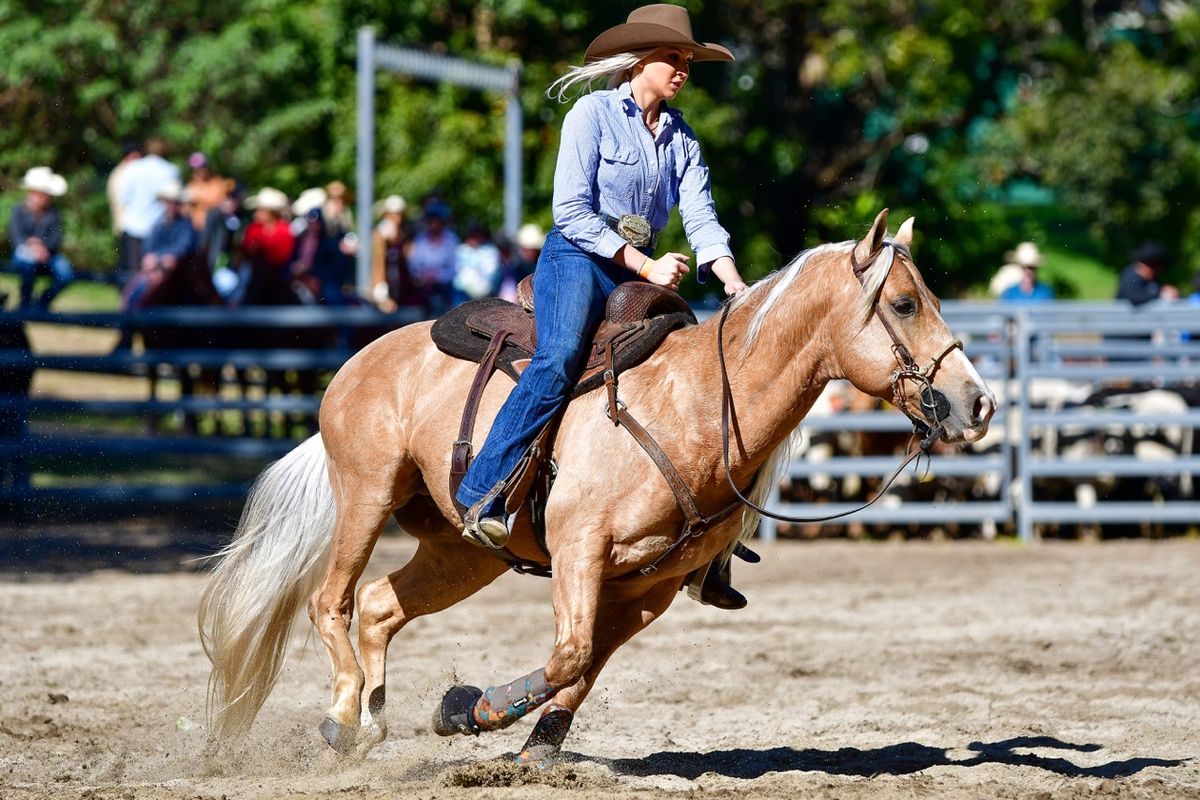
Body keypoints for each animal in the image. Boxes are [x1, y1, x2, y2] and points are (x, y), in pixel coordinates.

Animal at [199, 212, 993, 762]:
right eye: (904, 304)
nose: (978, 402)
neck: (693, 403)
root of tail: (361, 360)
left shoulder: (647, 587)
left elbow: (580, 672)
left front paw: (533, 751)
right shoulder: (580, 550)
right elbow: (569, 656)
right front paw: (466, 709)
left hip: (463, 553)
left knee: (378, 606)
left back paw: (370, 721)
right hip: (367, 495)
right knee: (330, 601)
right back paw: (341, 717)